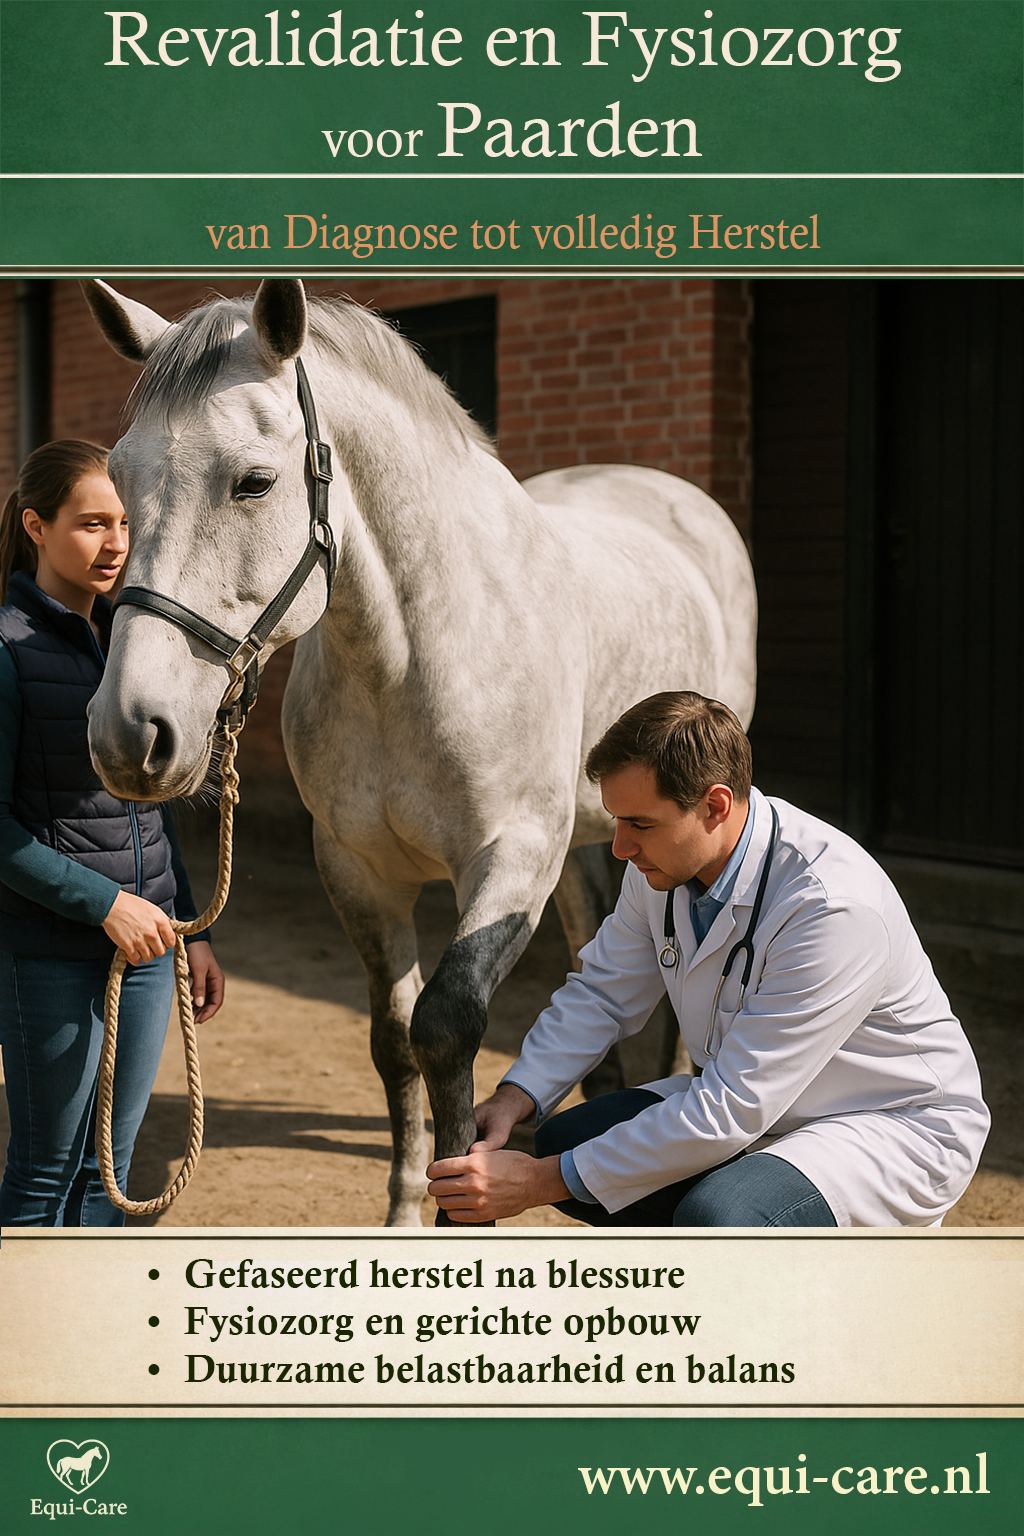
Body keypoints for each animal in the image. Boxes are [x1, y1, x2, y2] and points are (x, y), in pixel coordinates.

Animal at [82, 278, 757, 1226]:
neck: (410, 657)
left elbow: (446, 1029)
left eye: (253, 482)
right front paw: (407, 1213)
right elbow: (396, 1042)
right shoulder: (358, 870)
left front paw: (466, 1200)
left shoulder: (510, 857)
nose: (130, 732)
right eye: (119, 483)